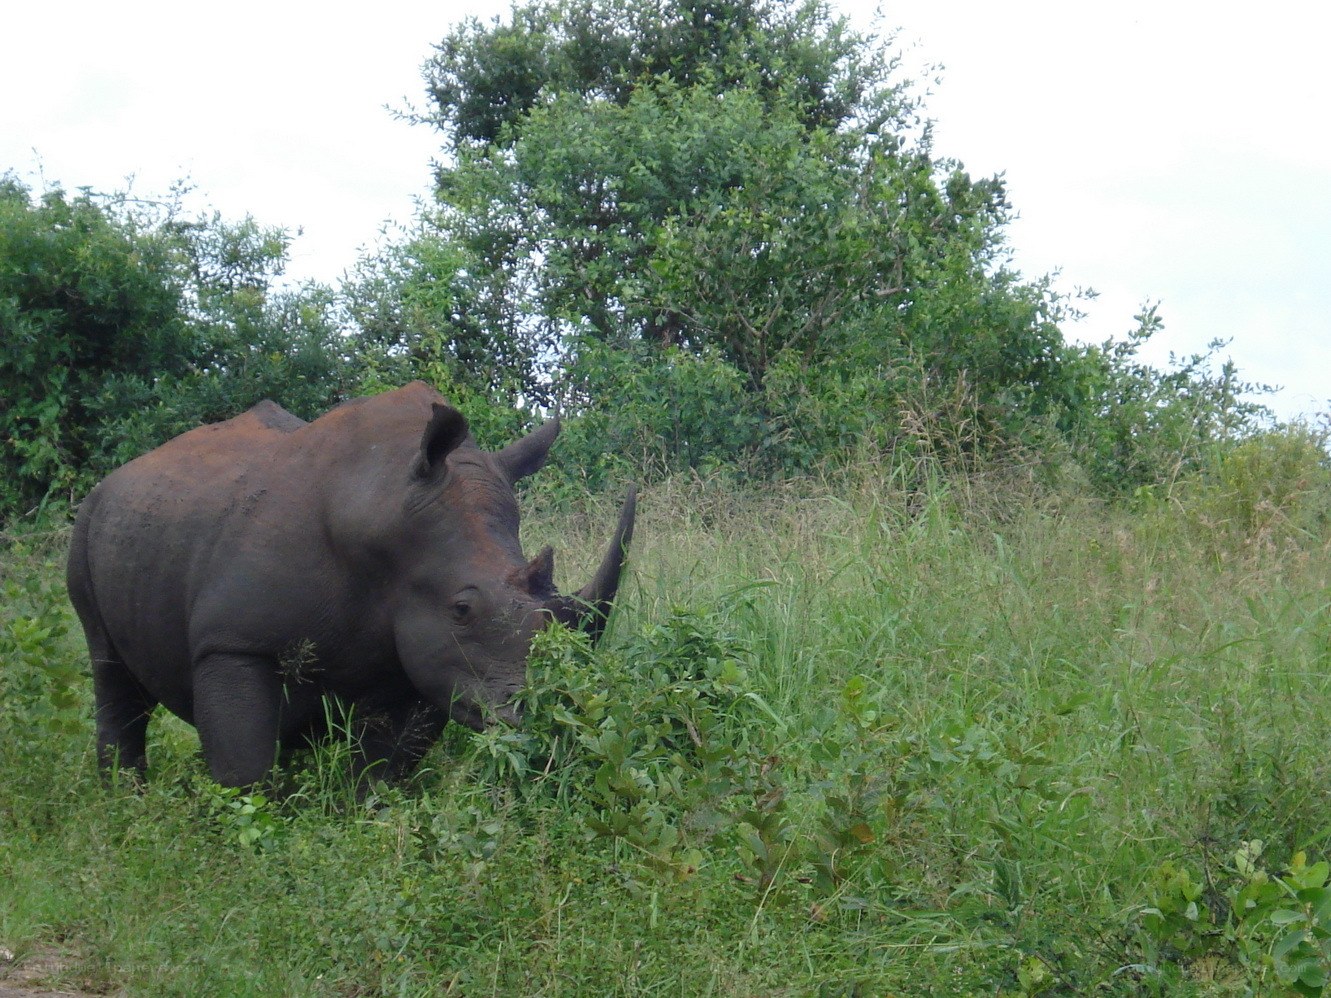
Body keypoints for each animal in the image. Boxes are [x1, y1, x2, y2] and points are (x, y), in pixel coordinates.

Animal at [66, 382, 635, 787]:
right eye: (462, 609)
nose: (545, 716)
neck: (383, 506)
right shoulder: (231, 644)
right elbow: (243, 771)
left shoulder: (427, 657)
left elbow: (382, 772)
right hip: (91, 523)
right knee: (110, 672)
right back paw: (125, 803)